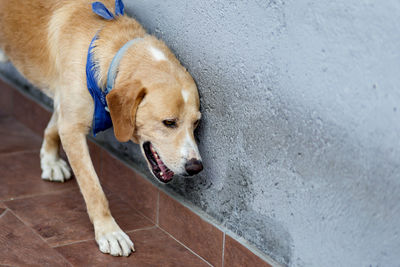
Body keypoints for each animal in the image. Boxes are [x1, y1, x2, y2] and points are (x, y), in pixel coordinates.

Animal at [0, 0, 203, 258]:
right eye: (169, 122)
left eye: (196, 123)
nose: (196, 167)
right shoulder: (73, 127)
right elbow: (94, 189)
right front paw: (109, 232)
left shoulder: (68, 107)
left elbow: (54, 126)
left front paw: (49, 160)